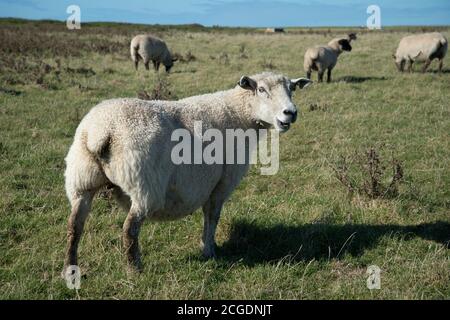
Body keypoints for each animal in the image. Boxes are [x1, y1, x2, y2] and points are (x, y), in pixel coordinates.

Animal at [61, 72, 312, 272]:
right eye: (261, 89)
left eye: (292, 89)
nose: (290, 113)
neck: (239, 113)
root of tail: (101, 131)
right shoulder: (222, 183)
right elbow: (212, 216)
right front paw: (209, 250)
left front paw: (207, 247)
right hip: (145, 186)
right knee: (129, 229)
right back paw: (135, 269)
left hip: (81, 181)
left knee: (74, 225)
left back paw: (70, 268)